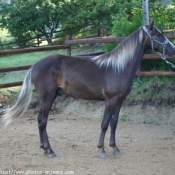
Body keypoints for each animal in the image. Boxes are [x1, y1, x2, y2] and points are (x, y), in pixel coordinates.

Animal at [1, 19, 175, 159]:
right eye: (158, 34)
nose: (173, 50)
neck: (118, 68)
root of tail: (35, 65)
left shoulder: (119, 101)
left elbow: (114, 124)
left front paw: (115, 148)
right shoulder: (110, 101)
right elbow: (104, 124)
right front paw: (101, 150)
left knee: (40, 121)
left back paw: (44, 149)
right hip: (47, 97)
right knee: (42, 121)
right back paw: (50, 151)